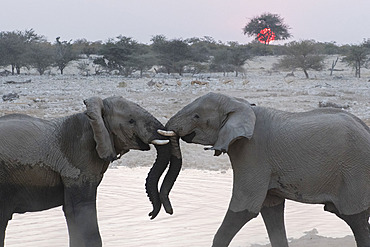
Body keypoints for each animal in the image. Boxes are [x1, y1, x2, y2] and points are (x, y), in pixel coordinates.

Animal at [147, 92, 370, 247]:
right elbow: (271, 209)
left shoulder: (252, 152)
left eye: (196, 116)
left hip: (355, 172)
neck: (240, 105)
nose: (165, 211)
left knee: (356, 220)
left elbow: (244, 207)